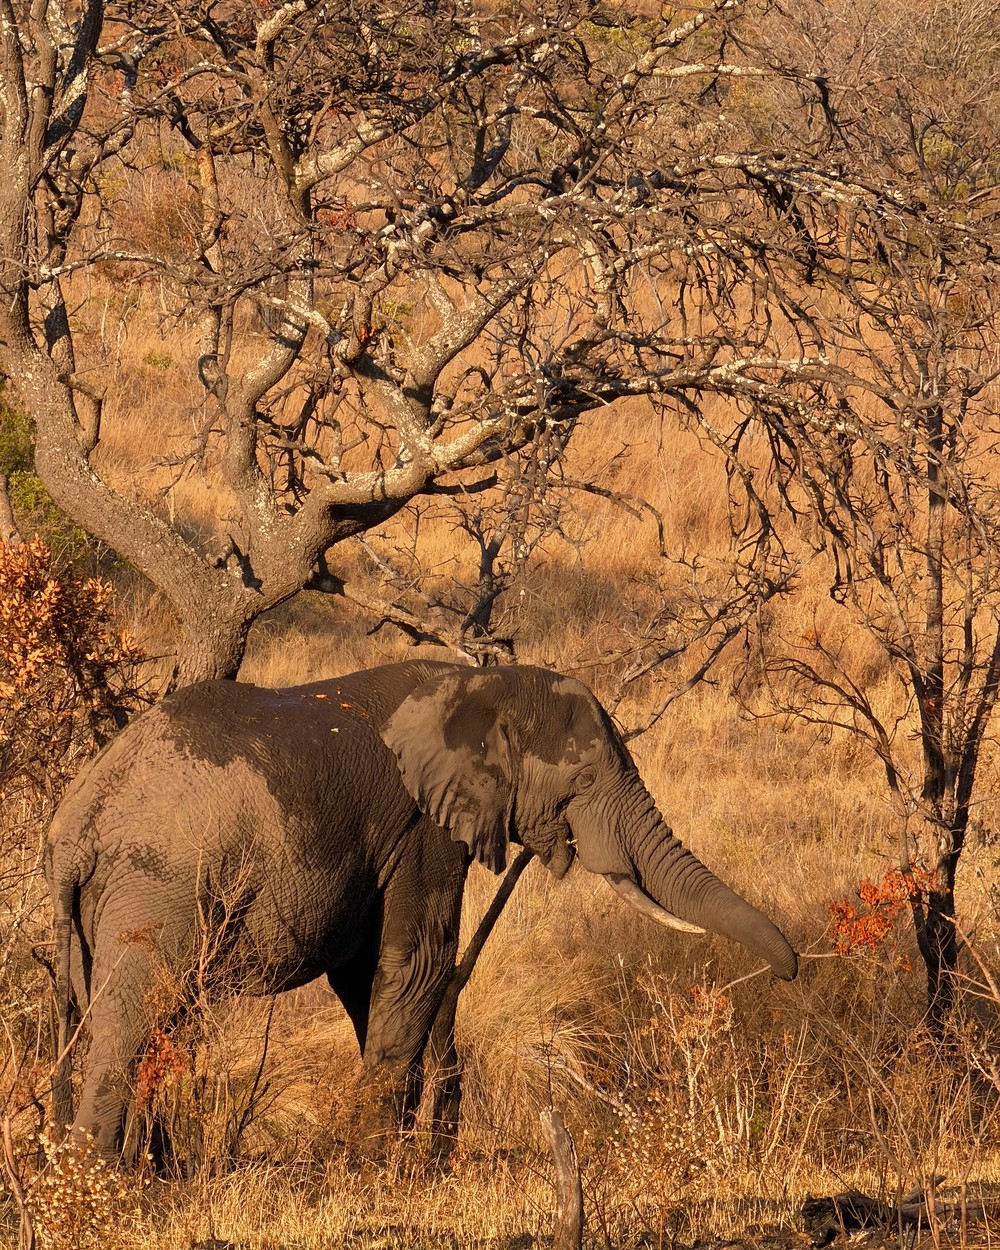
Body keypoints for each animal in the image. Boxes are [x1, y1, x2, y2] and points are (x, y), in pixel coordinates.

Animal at [46, 659, 797, 1160]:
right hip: (159, 888)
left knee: (133, 1018)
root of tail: (78, 825)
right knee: (131, 1021)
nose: (789, 972)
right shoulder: (421, 829)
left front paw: (390, 1154)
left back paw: (150, 1173)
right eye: (584, 780)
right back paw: (106, 1183)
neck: (478, 685)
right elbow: (416, 968)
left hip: (109, 908)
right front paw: (376, 1168)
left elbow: (368, 979)